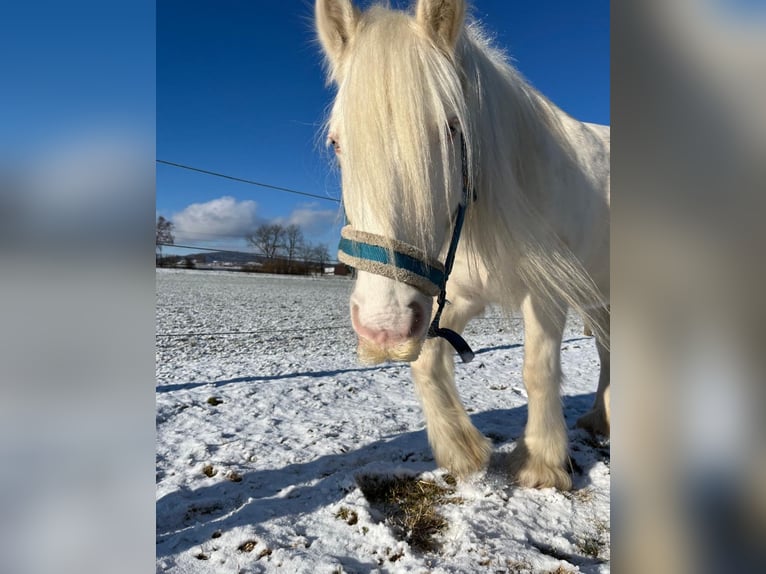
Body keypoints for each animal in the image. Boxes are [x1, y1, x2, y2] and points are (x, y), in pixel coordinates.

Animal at [316, 0, 610, 490]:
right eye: (337, 142)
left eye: (452, 128)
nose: (384, 327)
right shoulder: (460, 295)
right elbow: (427, 360)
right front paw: (462, 449)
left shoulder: (546, 295)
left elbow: (538, 369)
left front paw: (542, 464)